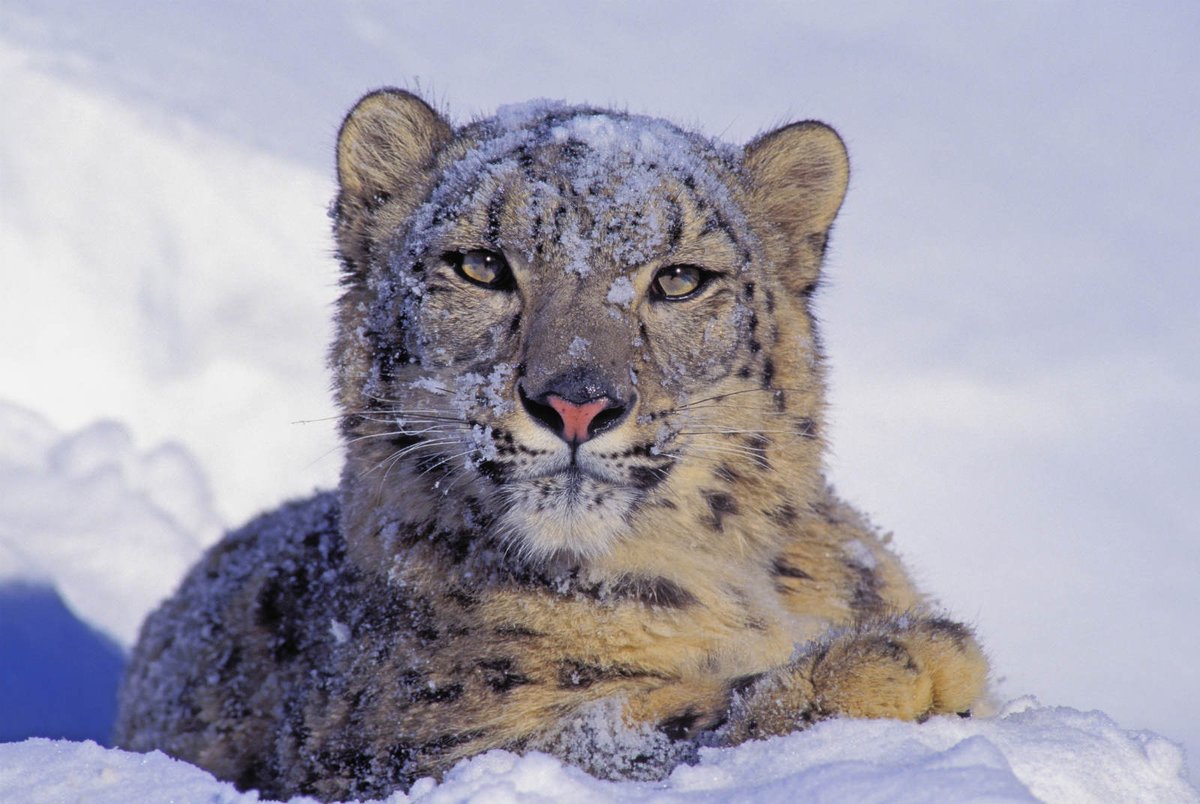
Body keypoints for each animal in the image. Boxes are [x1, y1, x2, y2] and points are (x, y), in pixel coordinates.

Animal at [113, 89, 989, 801]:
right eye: (481, 265)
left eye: (680, 279)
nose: (576, 403)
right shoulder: (419, 746)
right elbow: (621, 730)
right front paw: (894, 662)